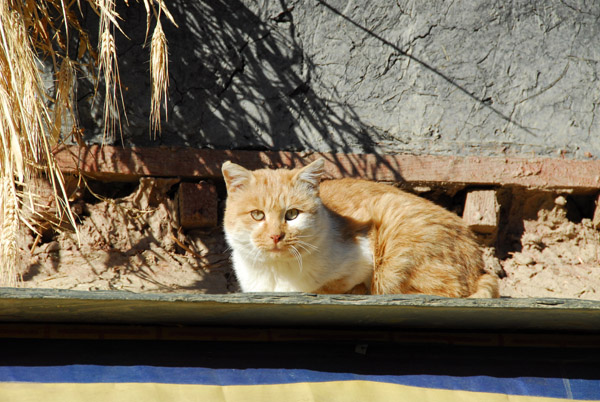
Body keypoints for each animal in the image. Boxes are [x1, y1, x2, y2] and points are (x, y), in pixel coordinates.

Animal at [220, 159, 496, 296]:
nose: (276, 236)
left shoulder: (362, 255)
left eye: (292, 214)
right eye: (257, 215)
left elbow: (331, 287)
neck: (276, 274)